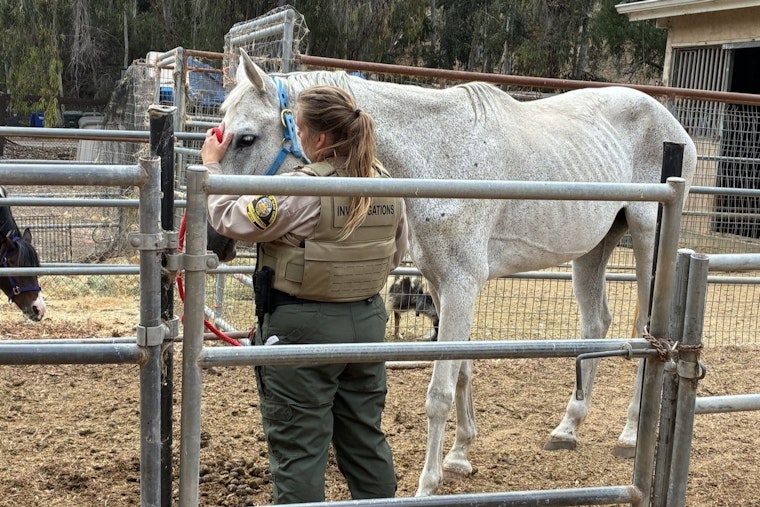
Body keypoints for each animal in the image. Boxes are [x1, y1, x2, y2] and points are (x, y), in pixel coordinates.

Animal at [207, 50, 697, 496]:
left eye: (246, 138)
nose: (216, 240)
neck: (439, 154)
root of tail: (678, 130)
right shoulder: (443, 286)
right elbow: (462, 366)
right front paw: (460, 454)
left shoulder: (462, 285)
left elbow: (439, 392)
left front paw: (428, 484)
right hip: (593, 249)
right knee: (596, 325)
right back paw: (567, 428)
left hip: (647, 240)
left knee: (644, 329)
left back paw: (630, 435)